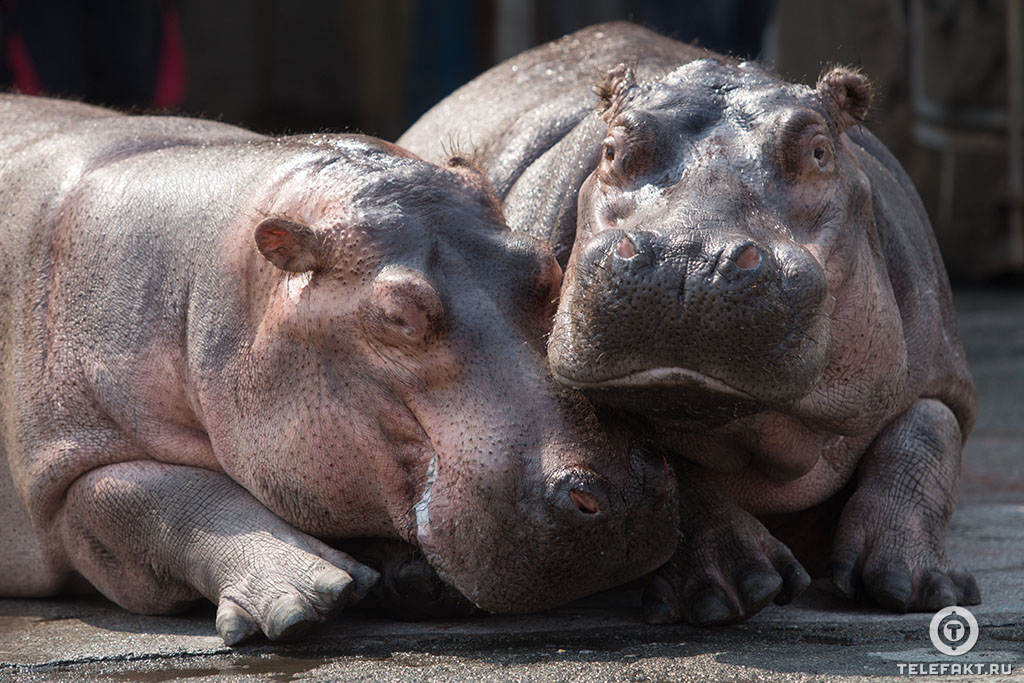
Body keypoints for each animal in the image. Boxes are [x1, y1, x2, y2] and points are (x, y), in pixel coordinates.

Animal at [0, 93, 679, 643]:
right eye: (398, 315)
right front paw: (309, 593)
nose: (623, 492)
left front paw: (407, 578)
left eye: (544, 265)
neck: (203, 283)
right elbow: (144, 495)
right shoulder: (60, 467)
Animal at [397, 22, 974, 626]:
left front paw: (914, 586)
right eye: (612, 149)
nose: (687, 257)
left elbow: (927, 435)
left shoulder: (944, 374)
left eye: (819, 150)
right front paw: (732, 589)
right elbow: (674, 474)